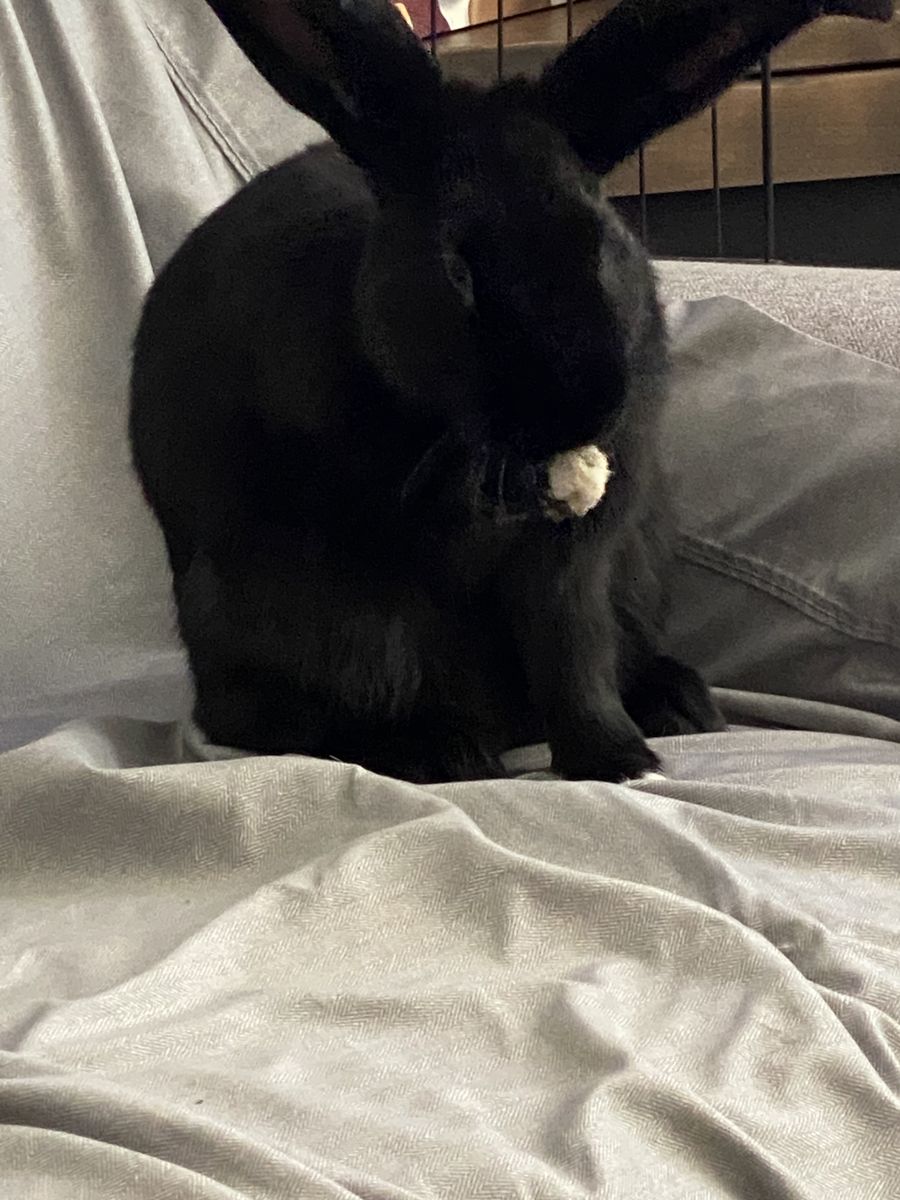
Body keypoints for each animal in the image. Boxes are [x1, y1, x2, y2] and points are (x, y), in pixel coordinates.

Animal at [130, 0, 892, 784]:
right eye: (458, 267)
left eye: (604, 244)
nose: (582, 408)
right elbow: (399, 652)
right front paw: (459, 751)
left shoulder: (576, 563)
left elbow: (574, 651)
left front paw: (615, 758)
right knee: (276, 711)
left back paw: (679, 703)